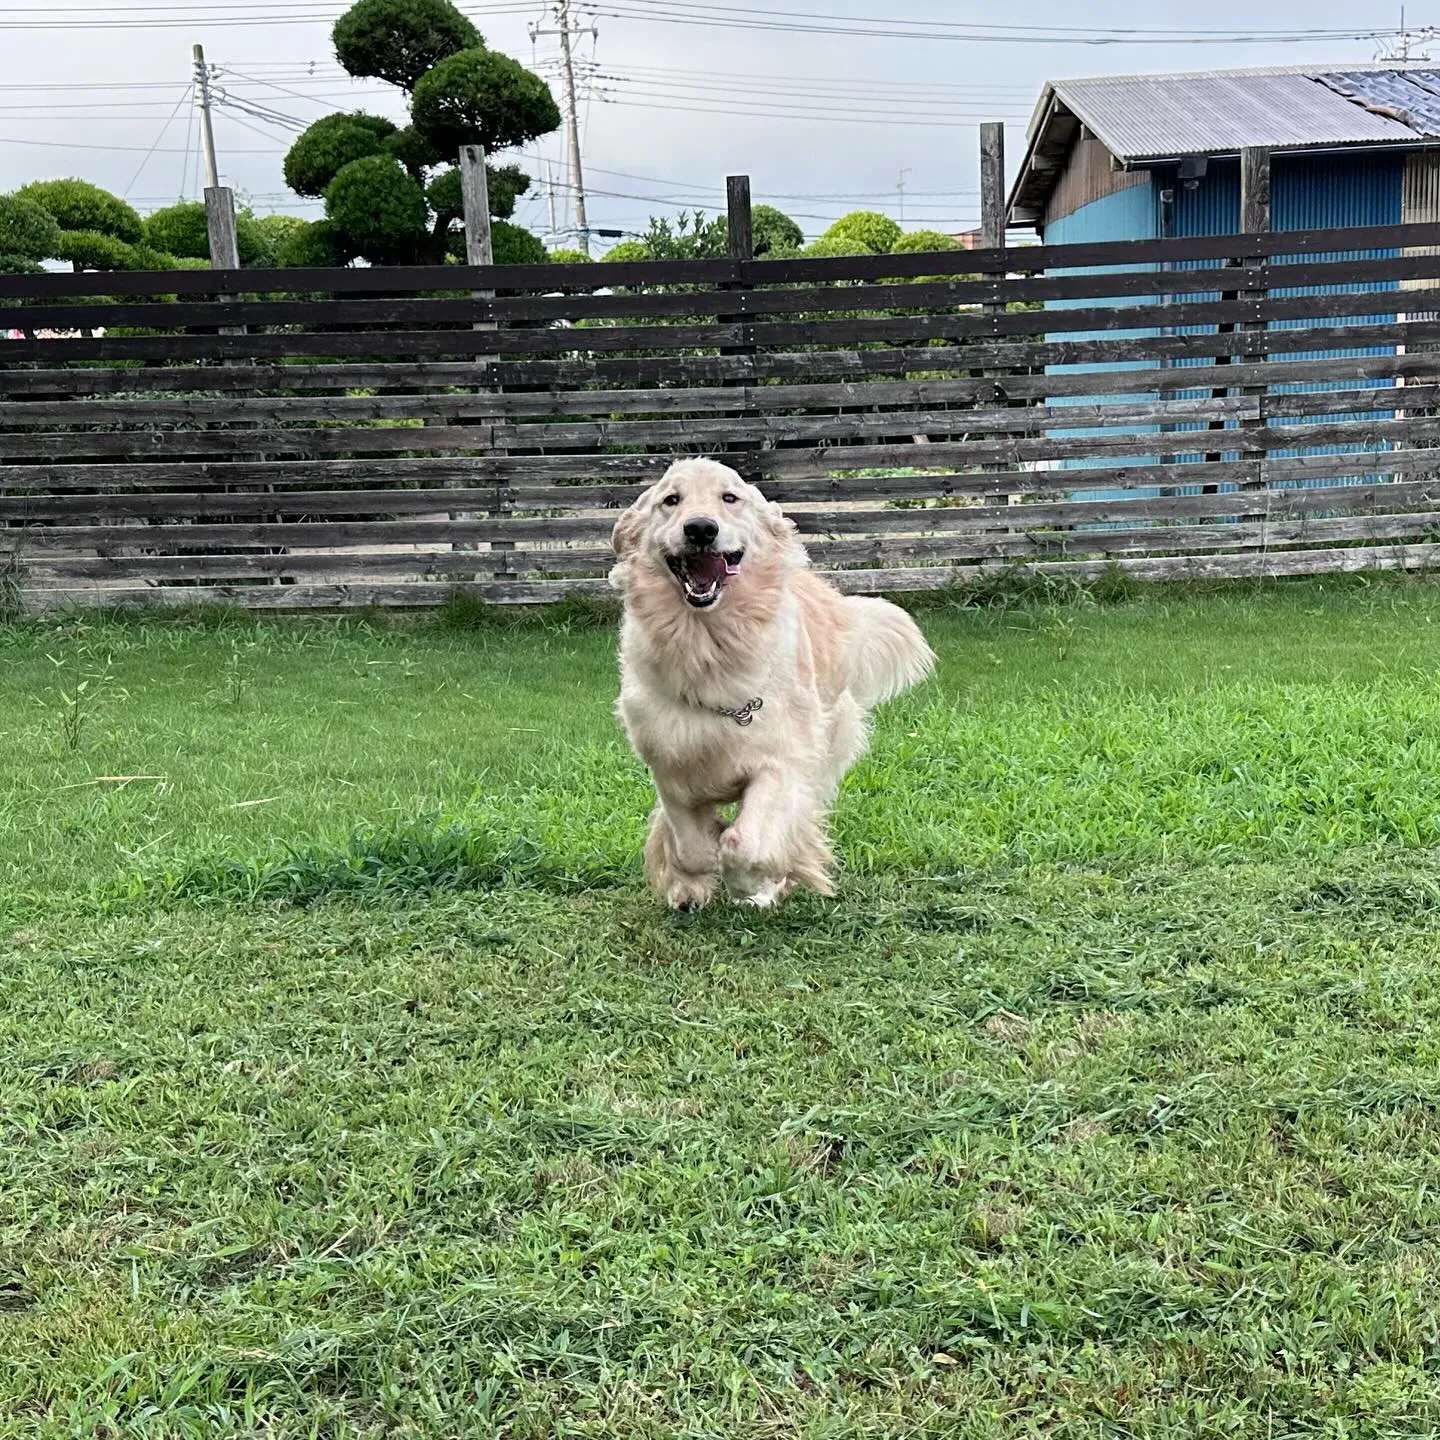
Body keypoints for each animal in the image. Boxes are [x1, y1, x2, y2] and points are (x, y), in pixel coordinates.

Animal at [604, 457, 933, 910]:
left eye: (730, 497)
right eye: (671, 500)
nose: (701, 528)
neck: (709, 646)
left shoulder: (780, 763)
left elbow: (745, 843)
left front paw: (752, 884)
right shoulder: (671, 766)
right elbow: (692, 847)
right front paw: (691, 875)